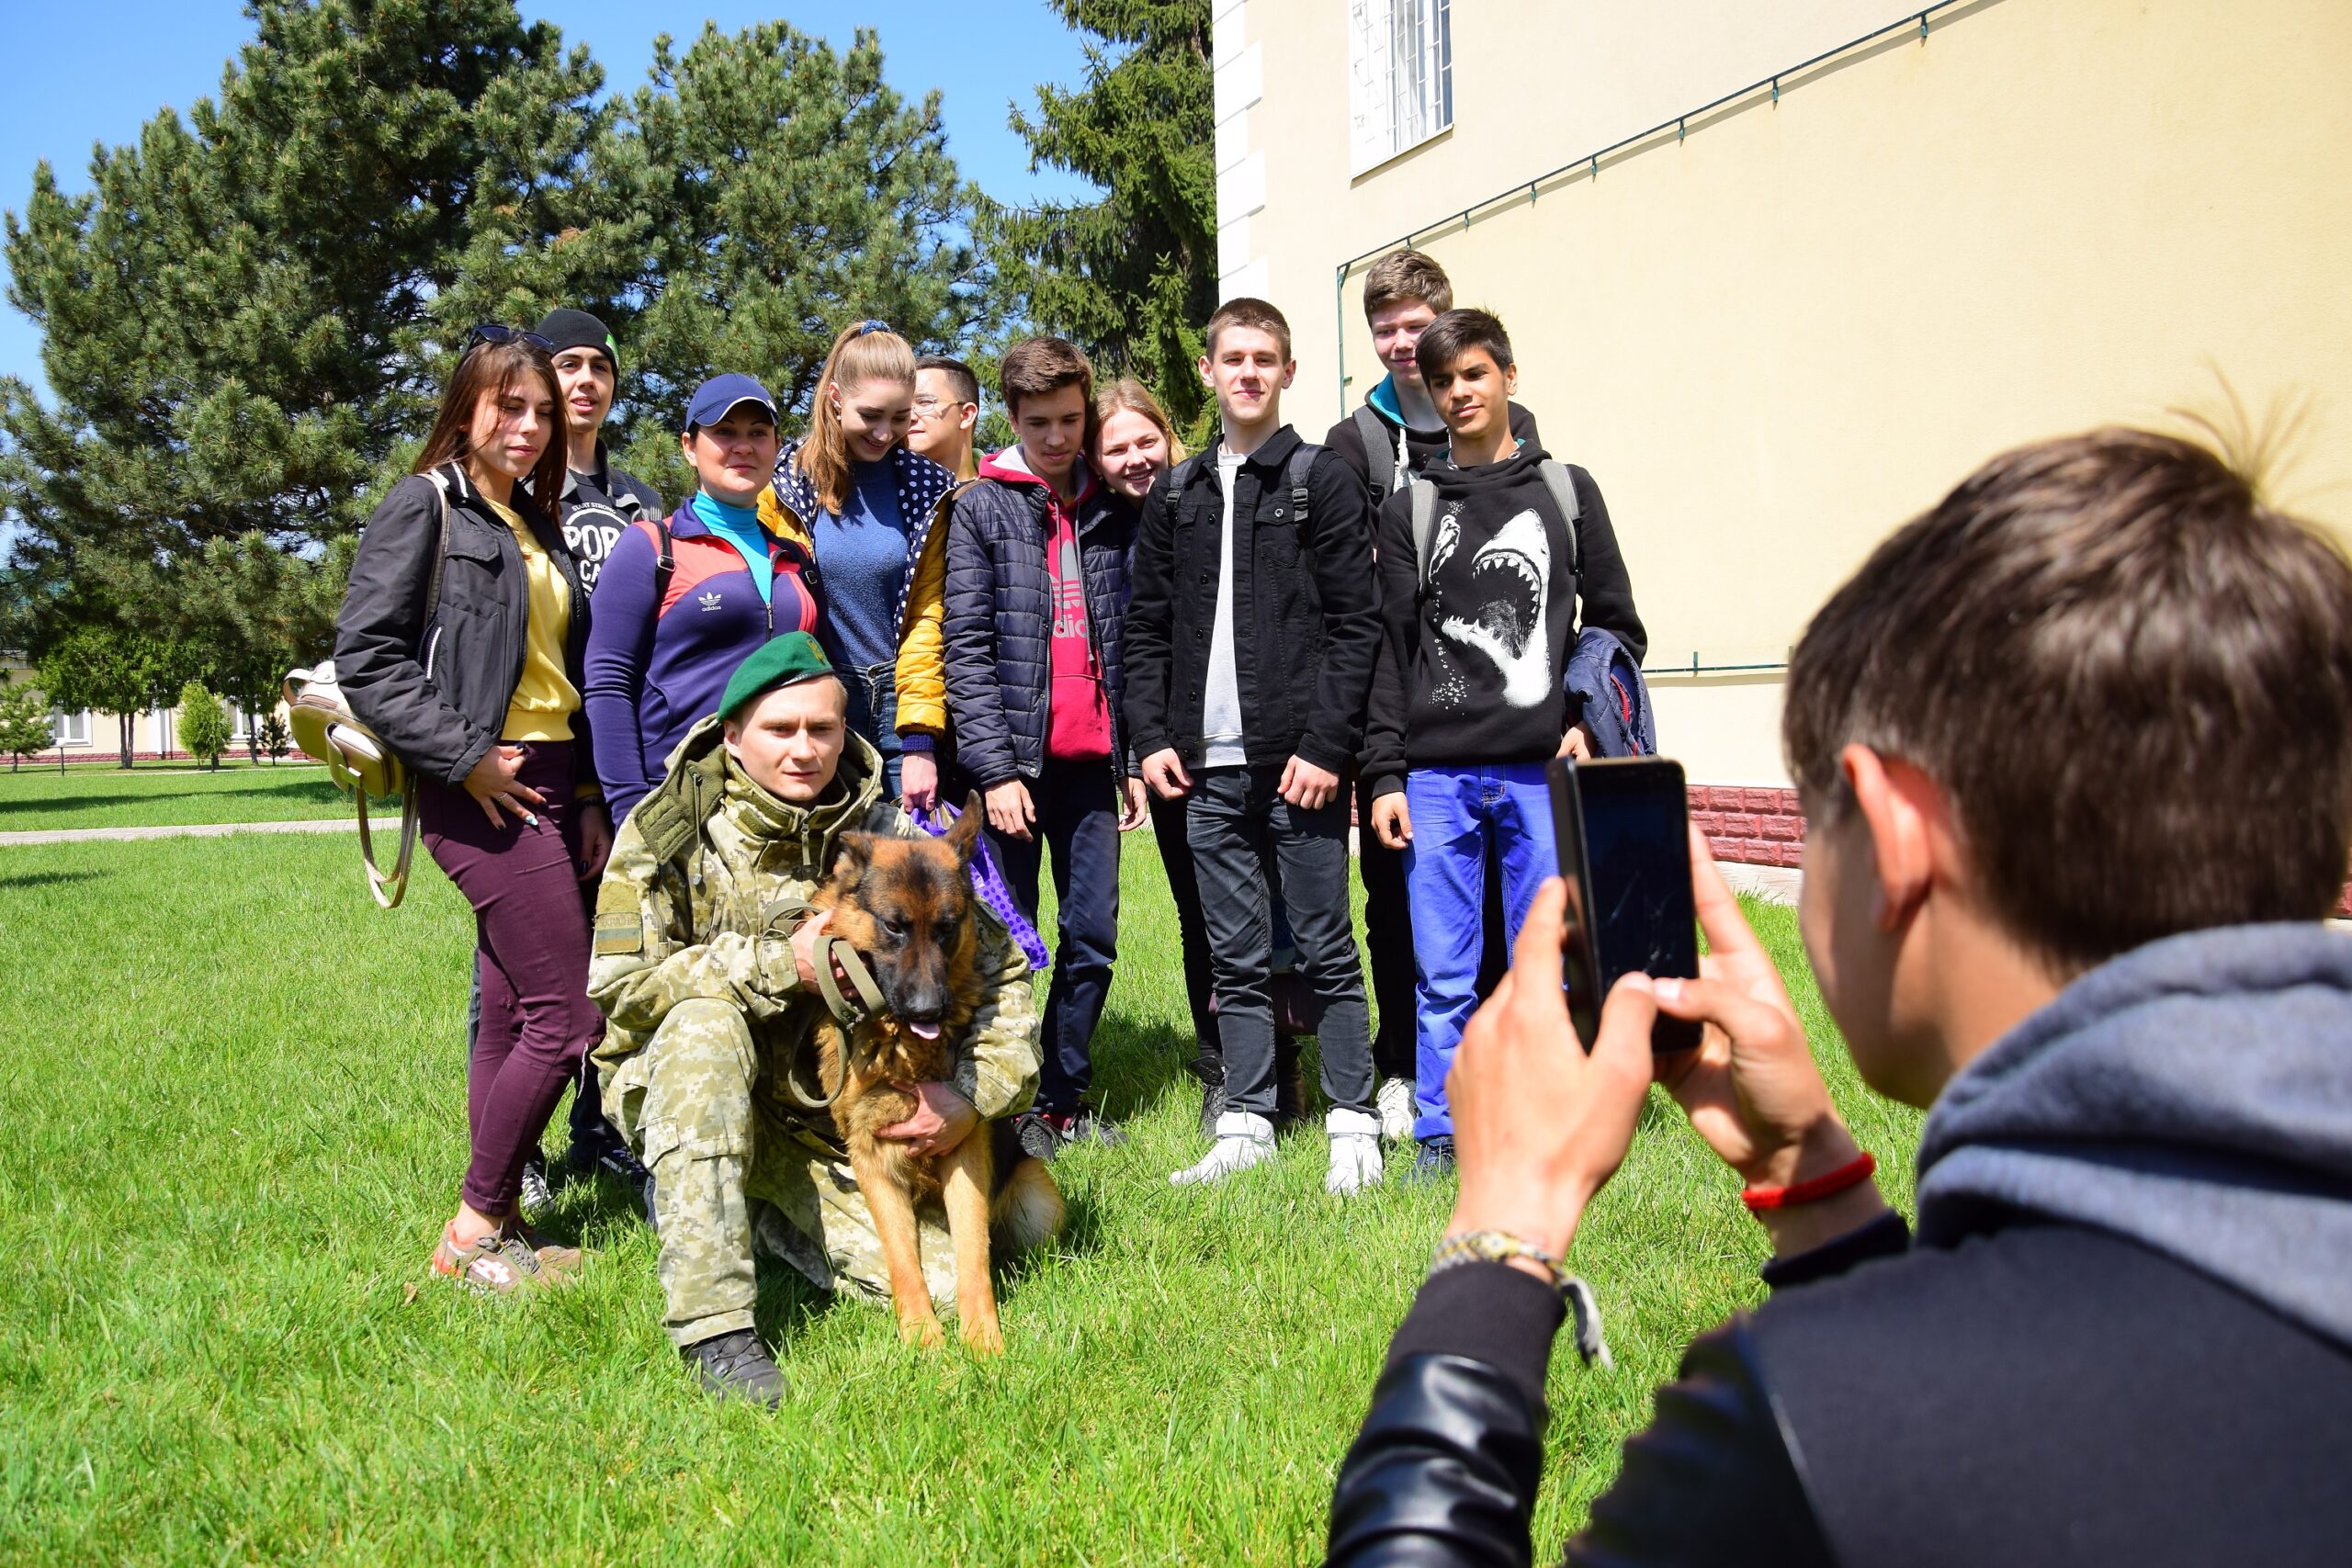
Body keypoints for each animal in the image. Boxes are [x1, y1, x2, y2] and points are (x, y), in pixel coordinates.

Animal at [808, 799, 1068, 1354]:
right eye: (895, 927)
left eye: (947, 927)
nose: (929, 1009)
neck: (903, 1052)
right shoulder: (873, 1163)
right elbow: (903, 1261)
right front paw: (923, 1339)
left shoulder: (962, 1149)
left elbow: (971, 1252)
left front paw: (982, 1338)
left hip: (1039, 1205)